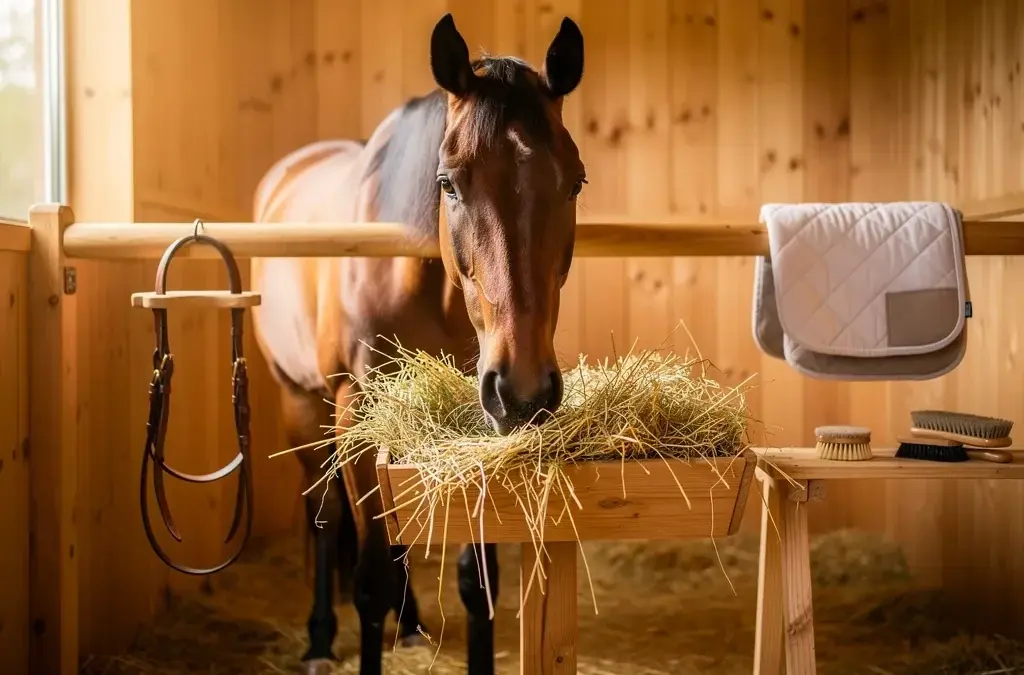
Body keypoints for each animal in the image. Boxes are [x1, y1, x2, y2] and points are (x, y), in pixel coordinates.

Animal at [250, 13, 585, 675]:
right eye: (447, 184)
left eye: (576, 181)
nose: (524, 389)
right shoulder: (357, 412)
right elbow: (369, 578)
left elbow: (477, 582)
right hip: (302, 405)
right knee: (326, 519)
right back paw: (321, 639)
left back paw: (407, 626)